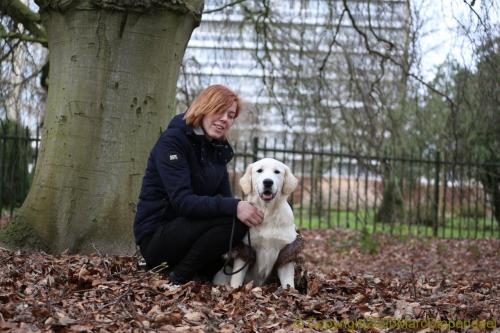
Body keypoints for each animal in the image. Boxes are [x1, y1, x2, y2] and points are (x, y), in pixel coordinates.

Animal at [212, 157, 300, 286]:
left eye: (277, 172)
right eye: (259, 170)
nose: (268, 182)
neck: (267, 213)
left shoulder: (286, 252)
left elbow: (288, 284)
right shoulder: (245, 250)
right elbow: (236, 279)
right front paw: (235, 289)